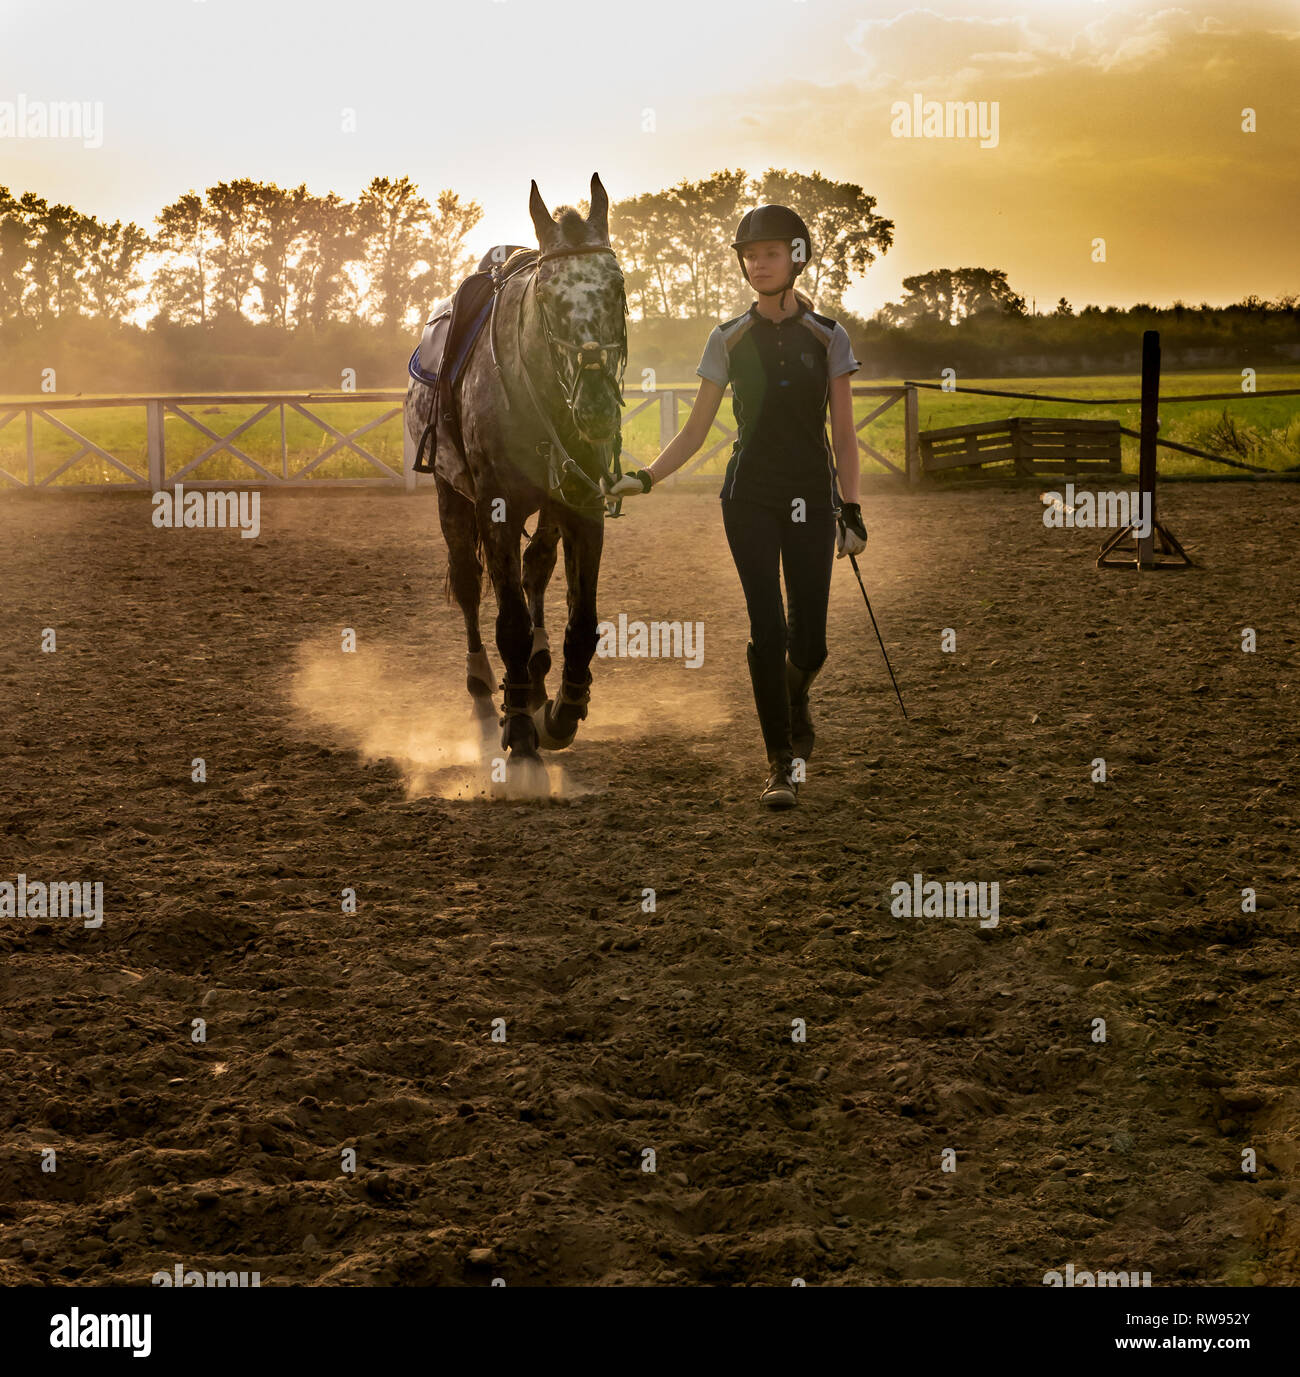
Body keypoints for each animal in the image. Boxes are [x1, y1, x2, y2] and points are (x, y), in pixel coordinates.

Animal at [407, 177, 630, 793]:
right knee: (467, 585)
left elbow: (582, 621)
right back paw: (488, 692)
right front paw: (524, 739)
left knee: (537, 572)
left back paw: (535, 675)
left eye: (618, 288)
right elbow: (505, 620)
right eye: (550, 296)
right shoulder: (496, 509)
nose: (596, 406)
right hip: (451, 498)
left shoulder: (582, 507)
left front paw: (560, 711)